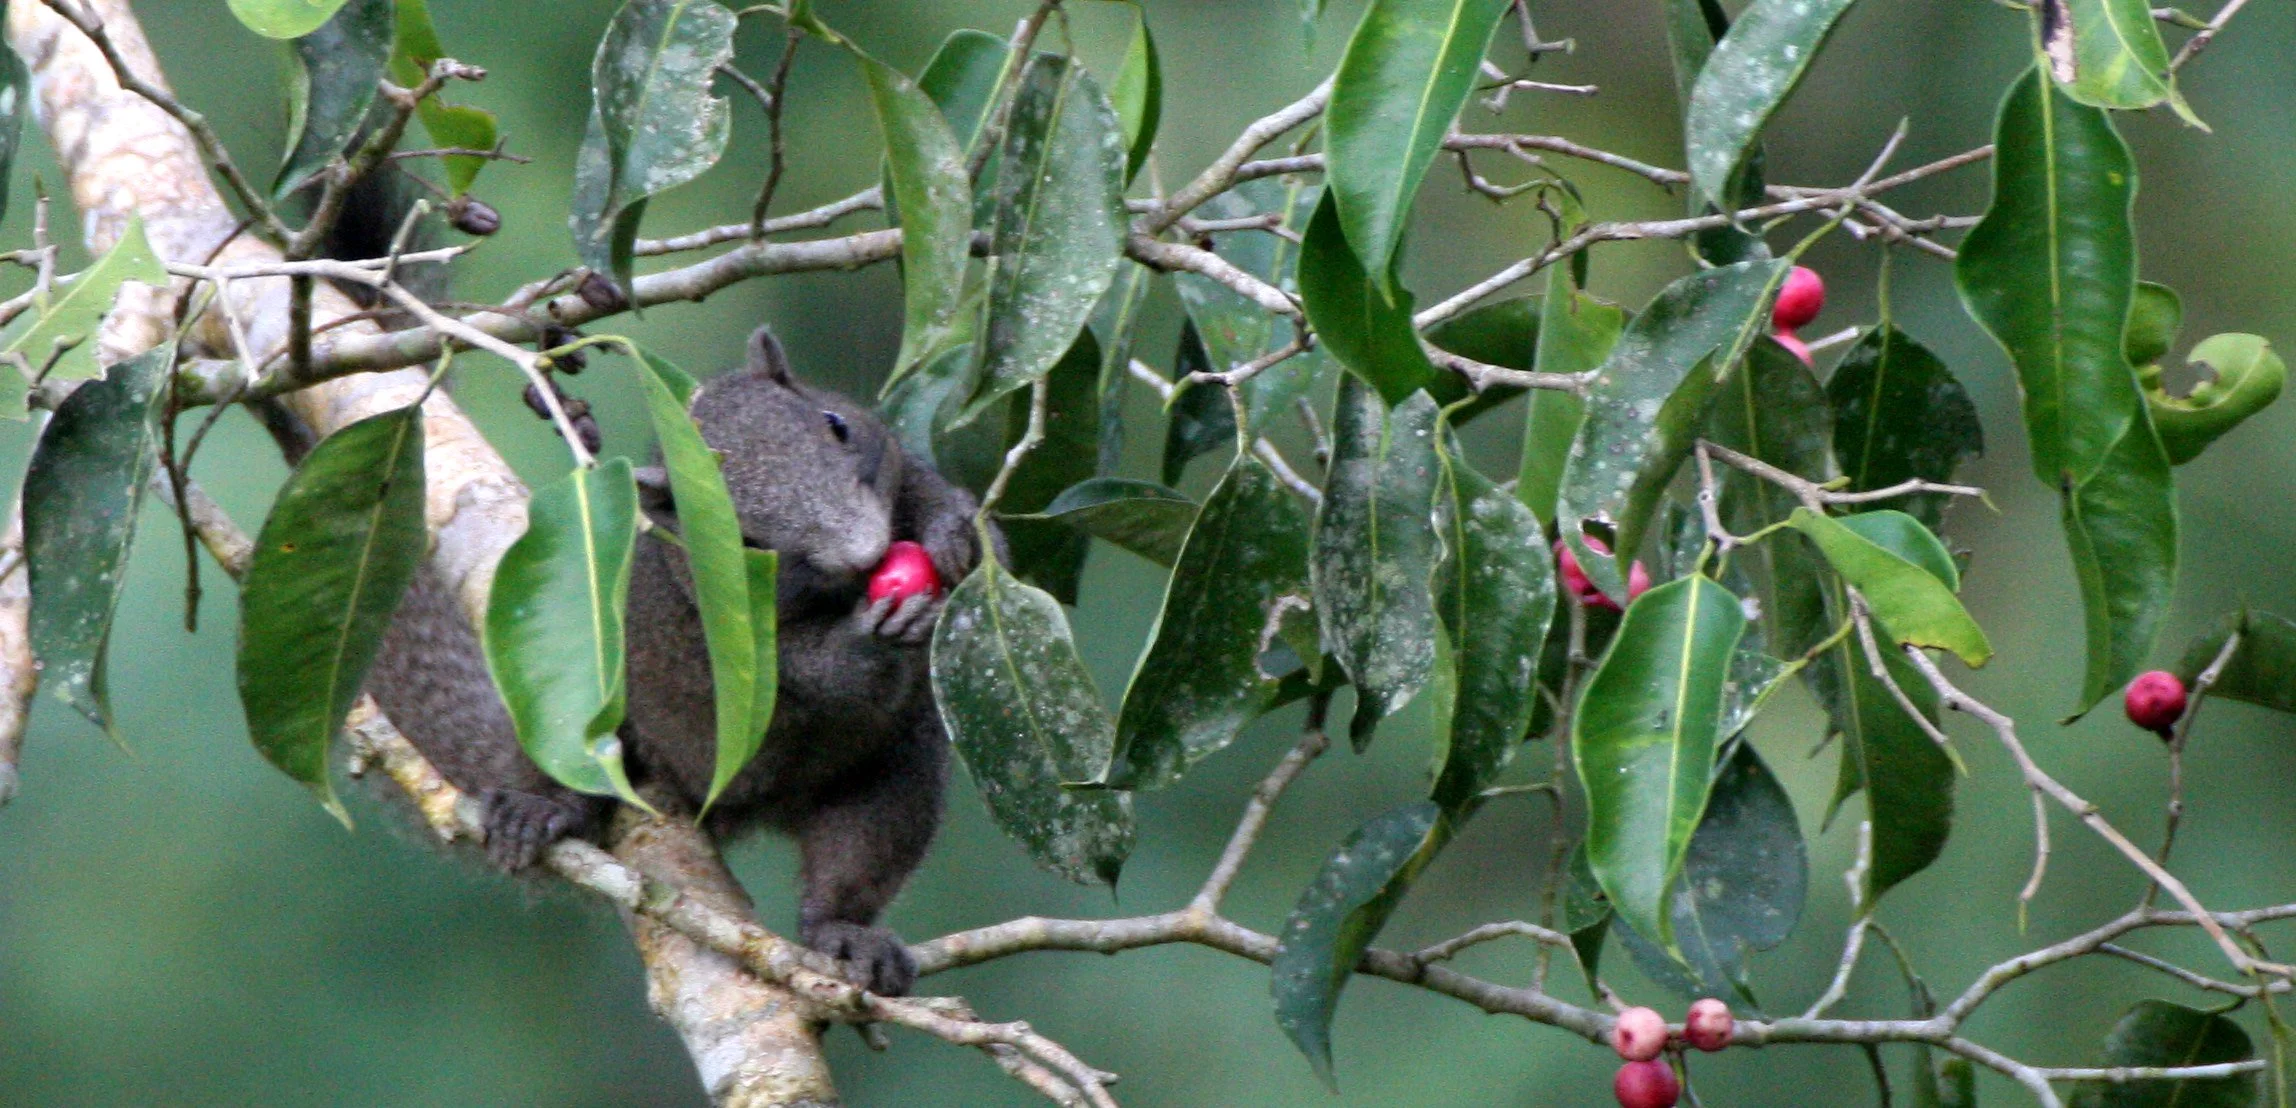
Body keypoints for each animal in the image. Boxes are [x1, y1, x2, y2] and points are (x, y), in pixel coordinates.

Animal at [303, 169, 990, 996]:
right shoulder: (726, 640)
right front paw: (870, 634)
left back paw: (846, 934)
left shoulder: (894, 463)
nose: (869, 556)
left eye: (837, 425)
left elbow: (925, 487)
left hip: (891, 773)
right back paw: (538, 811)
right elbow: (812, 671)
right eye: (746, 541)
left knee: (853, 860)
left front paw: (954, 533)